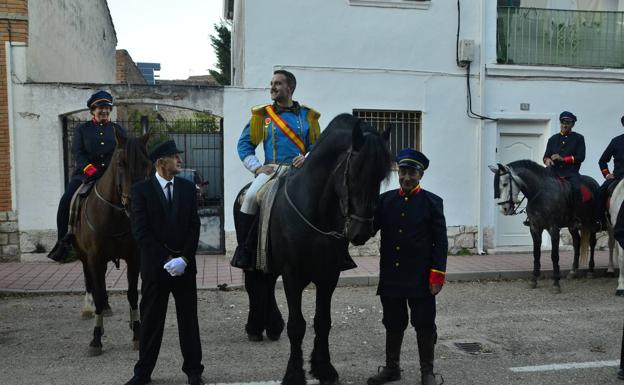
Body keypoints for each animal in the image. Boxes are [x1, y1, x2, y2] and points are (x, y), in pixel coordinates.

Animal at [71, 129, 151, 354]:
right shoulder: (94, 257)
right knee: (91, 282)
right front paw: (96, 338)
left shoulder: (134, 257)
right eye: (120, 163)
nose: (135, 204)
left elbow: (132, 295)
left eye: (147, 163)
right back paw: (89, 309)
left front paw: (137, 333)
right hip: (84, 257)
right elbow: (97, 293)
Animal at [234, 114, 390, 384]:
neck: (315, 211)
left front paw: (323, 367)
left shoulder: (329, 275)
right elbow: (297, 326)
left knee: (266, 284)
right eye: (354, 173)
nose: (361, 232)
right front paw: (294, 373)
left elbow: (323, 322)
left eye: (380, 177)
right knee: (255, 284)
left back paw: (271, 326)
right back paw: (255, 327)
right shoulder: (292, 275)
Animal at [492, 160, 600, 292]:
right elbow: (536, 253)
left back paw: (590, 270)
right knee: (576, 242)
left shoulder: (553, 228)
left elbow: (554, 255)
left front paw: (556, 283)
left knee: (592, 242)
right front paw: (534, 279)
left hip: (591, 222)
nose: (504, 209)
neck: (540, 193)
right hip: (572, 226)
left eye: (505, 184)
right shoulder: (535, 228)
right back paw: (573, 271)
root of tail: (594, 182)